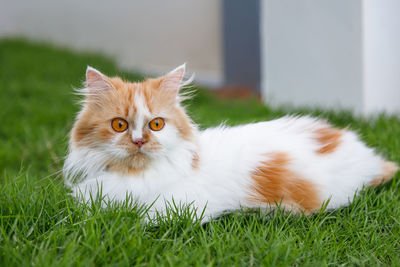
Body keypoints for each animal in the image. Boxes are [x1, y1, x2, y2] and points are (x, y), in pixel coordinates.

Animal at [62, 64, 396, 222]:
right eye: (120, 125)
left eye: (156, 124)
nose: (139, 140)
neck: (134, 177)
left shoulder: (184, 206)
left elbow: (143, 219)